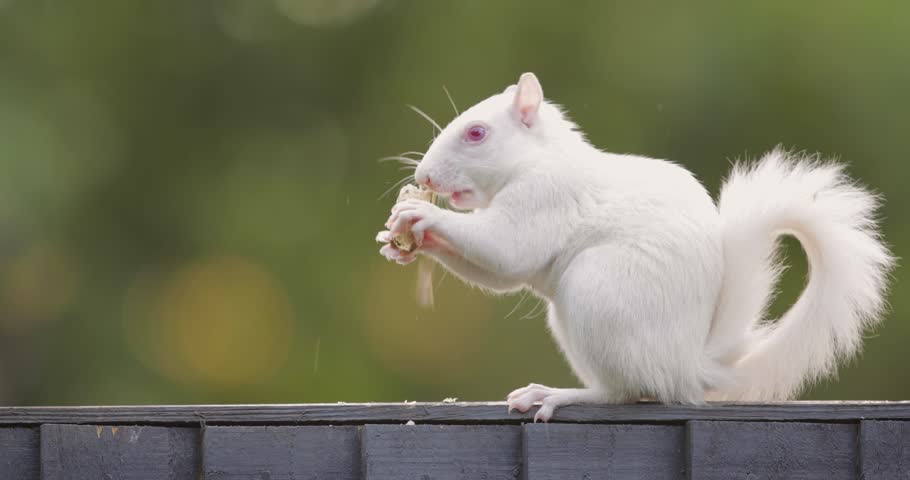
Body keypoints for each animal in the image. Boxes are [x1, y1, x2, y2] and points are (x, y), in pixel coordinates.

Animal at [375, 72, 895, 422]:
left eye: (477, 133)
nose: (423, 177)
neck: (537, 161)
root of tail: (689, 368)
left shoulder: (544, 200)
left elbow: (505, 251)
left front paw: (423, 216)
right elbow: (497, 273)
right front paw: (403, 241)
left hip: (597, 295)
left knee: (624, 392)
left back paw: (557, 394)